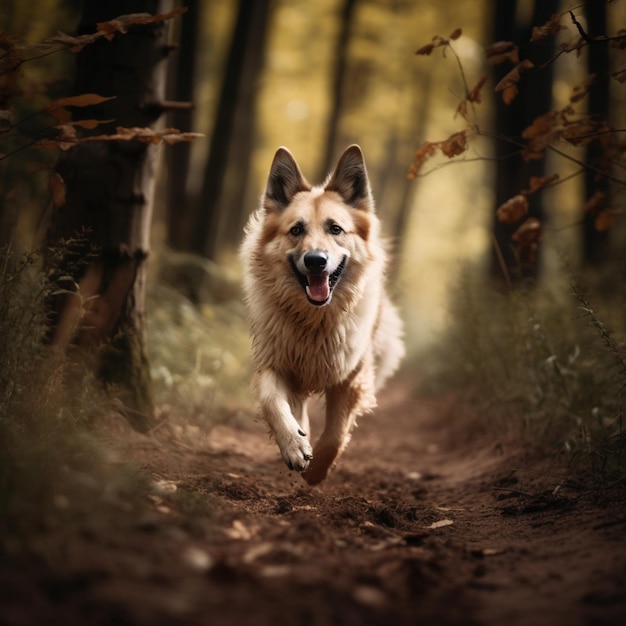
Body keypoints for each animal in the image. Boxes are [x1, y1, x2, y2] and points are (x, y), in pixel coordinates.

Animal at [236, 145, 402, 482]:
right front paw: (294, 445)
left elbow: (335, 435)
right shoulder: (274, 364)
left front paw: (316, 471)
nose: (315, 261)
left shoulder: (351, 378)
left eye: (335, 229)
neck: (314, 321)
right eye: (296, 230)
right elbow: (272, 400)